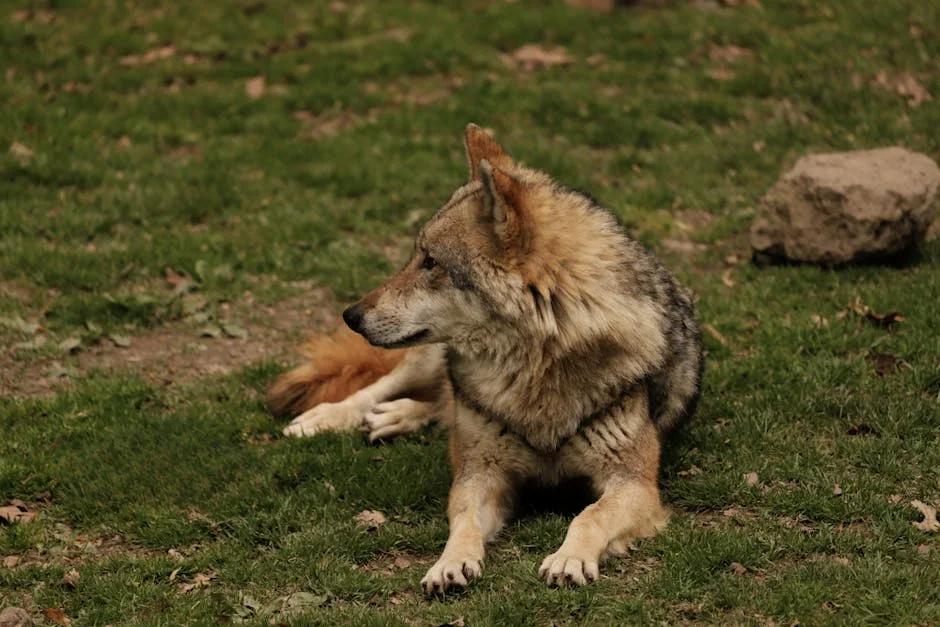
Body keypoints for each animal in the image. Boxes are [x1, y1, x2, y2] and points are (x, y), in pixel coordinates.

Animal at [268, 124, 703, 593]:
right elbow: (464, 523)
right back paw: (326, 419)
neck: (535, 367)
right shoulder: (479, 475)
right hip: (427, 356)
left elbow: (589, 516)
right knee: (388, 390)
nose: (351, 316)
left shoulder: (634, 484)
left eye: (431, 262)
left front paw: (569, 558)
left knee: (440, 406)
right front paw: (449, 563)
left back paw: (399, 416)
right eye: (416, 256)